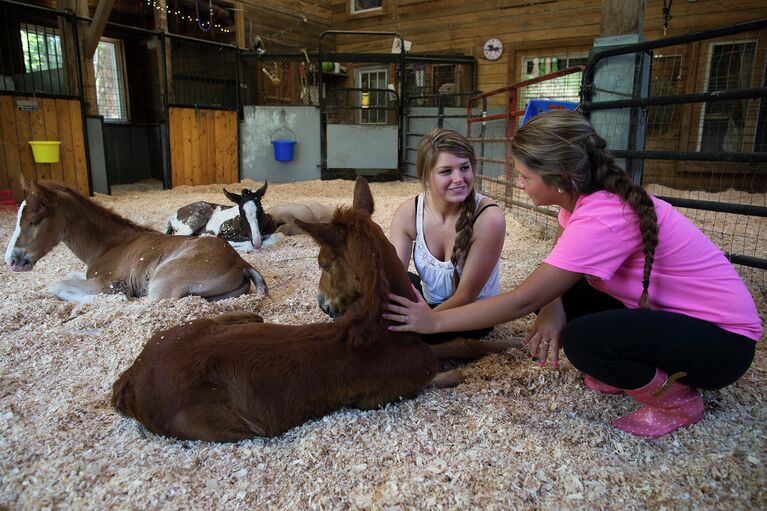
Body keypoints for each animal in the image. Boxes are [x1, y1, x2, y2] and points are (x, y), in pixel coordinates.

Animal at [4, 180, 268, 302]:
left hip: (161, 283)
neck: (108, 245)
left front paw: (111, 298)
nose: (12, 260)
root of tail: (240, 262)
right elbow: (69, 276)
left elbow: (59, 286)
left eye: (34, 221)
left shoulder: (107, 282)